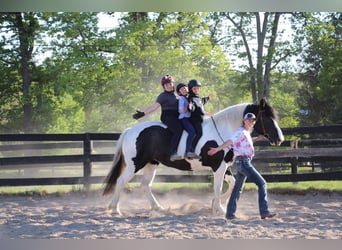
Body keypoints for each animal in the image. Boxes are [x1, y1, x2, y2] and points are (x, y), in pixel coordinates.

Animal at [103, 97, 284, 215]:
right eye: (267, 117)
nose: (280, 139)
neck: (224, 130)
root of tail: (130, 131)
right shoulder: (218, 166)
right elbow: (218, 187)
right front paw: (219, 209)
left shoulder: (224, 166)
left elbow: (232, 184)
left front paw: (215, 204)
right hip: (135, 164)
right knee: (121, 181)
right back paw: (115, 209)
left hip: (151, 164)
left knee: (145, 185)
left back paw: (158, 208)